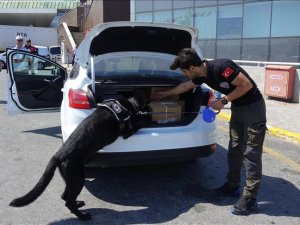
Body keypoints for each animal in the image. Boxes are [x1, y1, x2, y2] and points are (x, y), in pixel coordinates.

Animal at [8, 96, 142, 220]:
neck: (126, 105)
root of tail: (58, 154)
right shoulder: (127, 132)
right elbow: (136, 125)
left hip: (71, 178)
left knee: (65, 196)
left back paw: (78, 204)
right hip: (78, 178)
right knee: (68, 202)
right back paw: (82, 216)